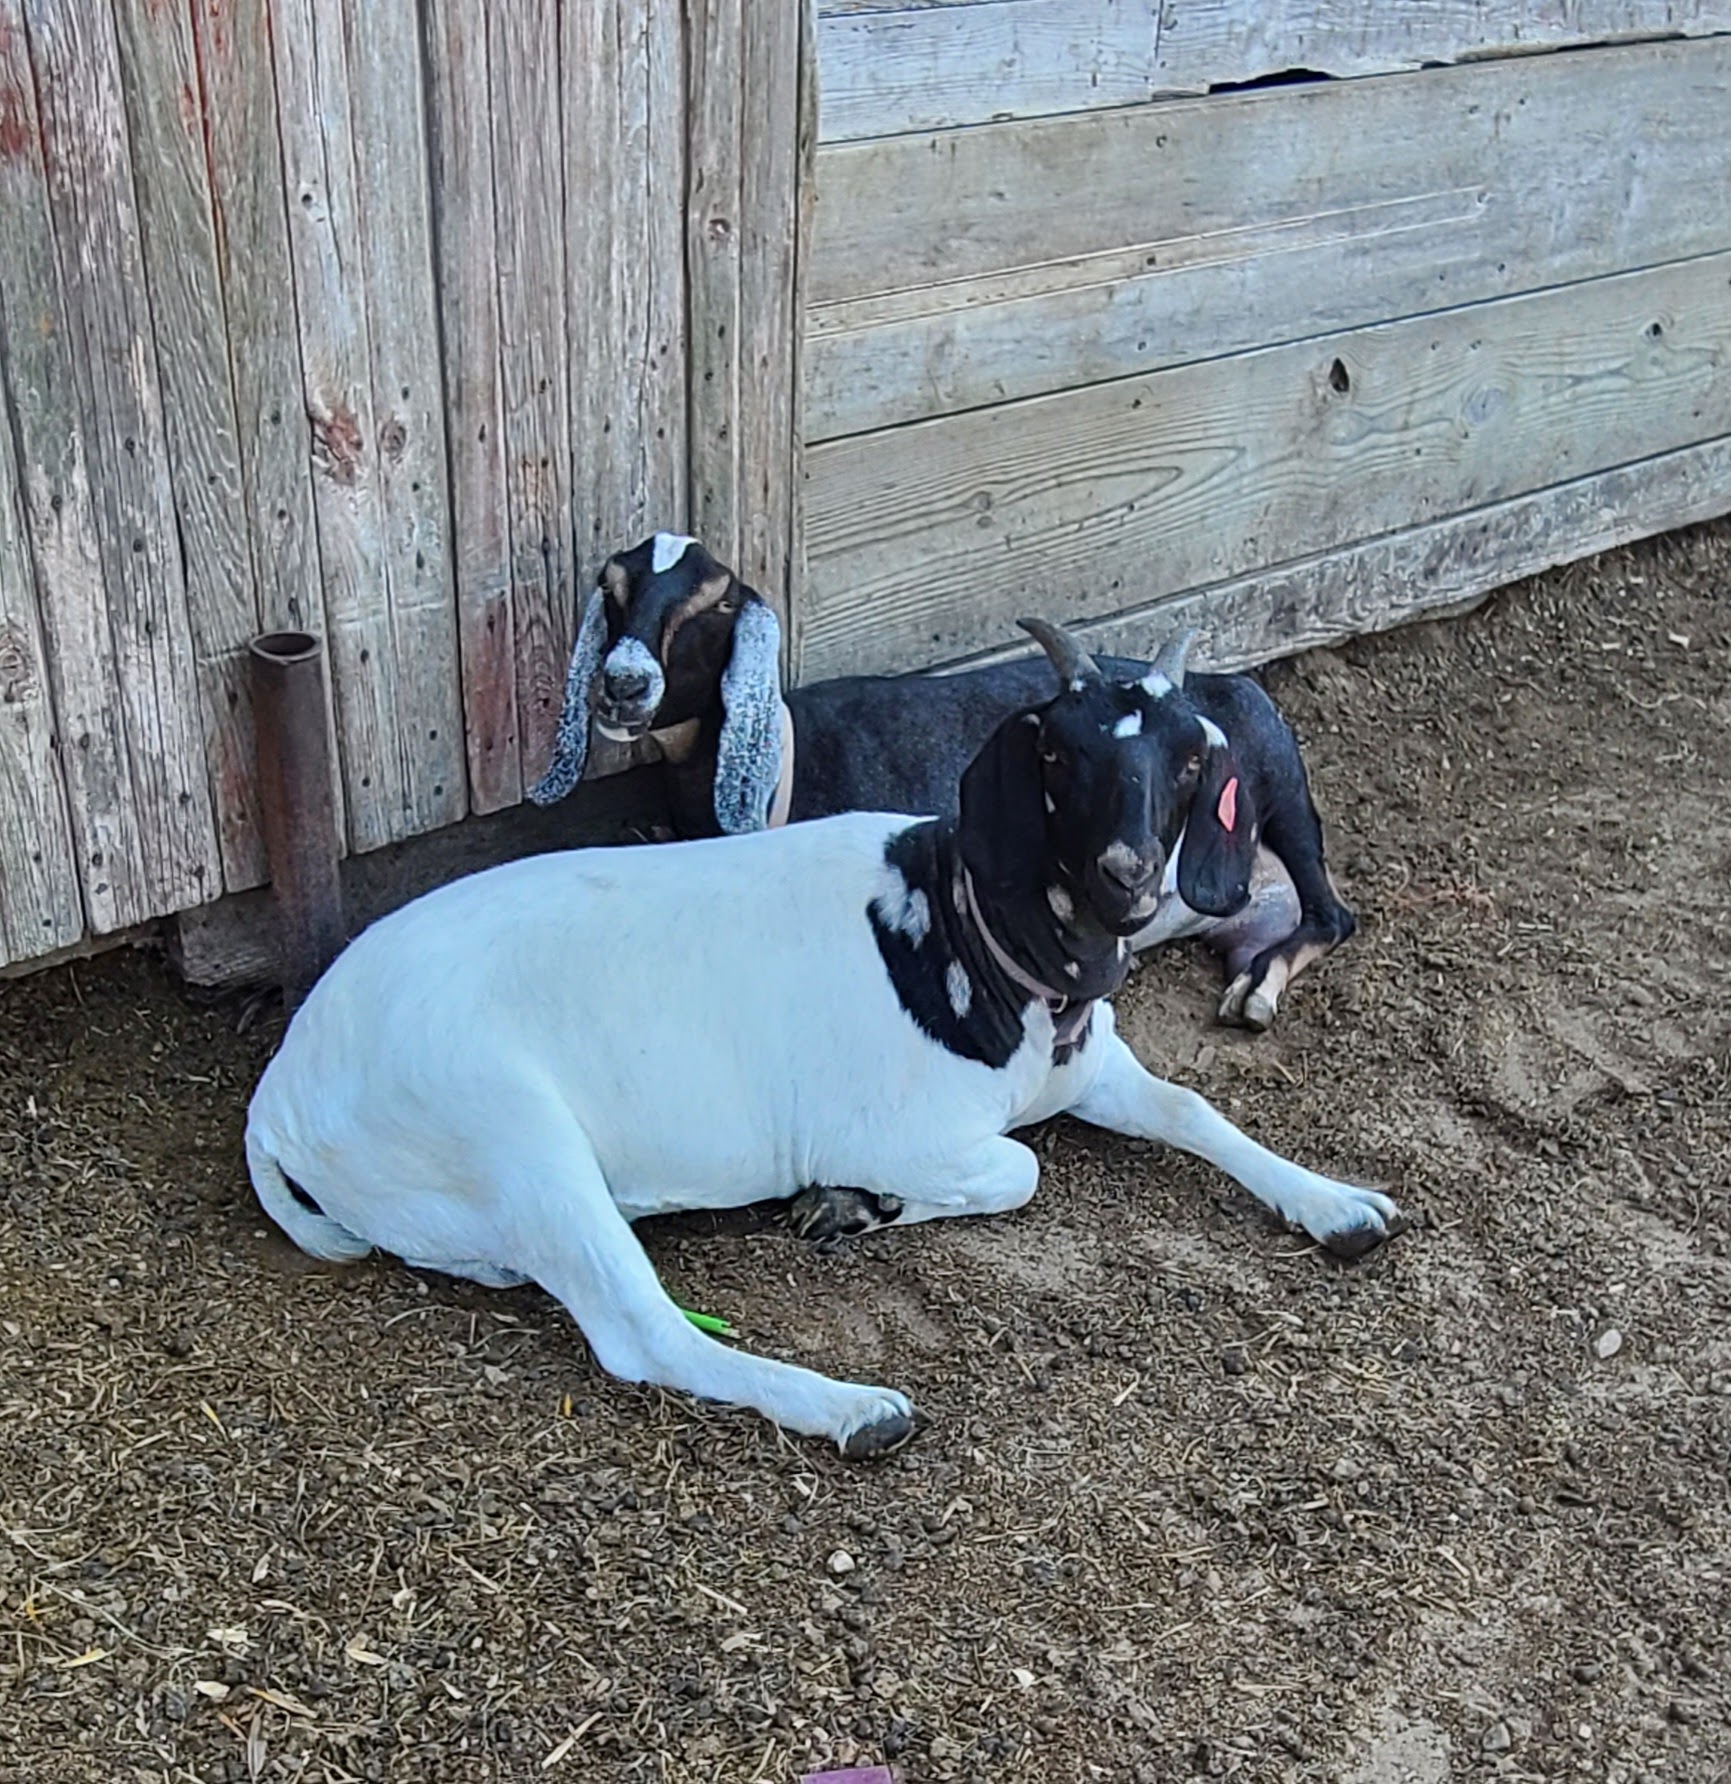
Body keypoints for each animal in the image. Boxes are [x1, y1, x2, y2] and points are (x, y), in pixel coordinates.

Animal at [249, 620, 1399, 1455]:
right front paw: (860, 1201)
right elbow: (1018, 1169)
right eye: (1058, 749)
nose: (1129, 877)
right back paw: (854, 1409)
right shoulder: (897, 1127)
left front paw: (1337, 1202)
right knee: (644, 1333)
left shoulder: (1092, 1069)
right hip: (516, 1139)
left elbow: (1194, 1107)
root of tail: (281, 1092)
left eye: (1192, 756)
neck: (966, 933)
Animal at [531, 528, 1356, 1034]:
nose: (623, 683)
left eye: (719, 602)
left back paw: (1256, 996)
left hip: (1281, 784)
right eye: (611, 588)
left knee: (1333, 915)